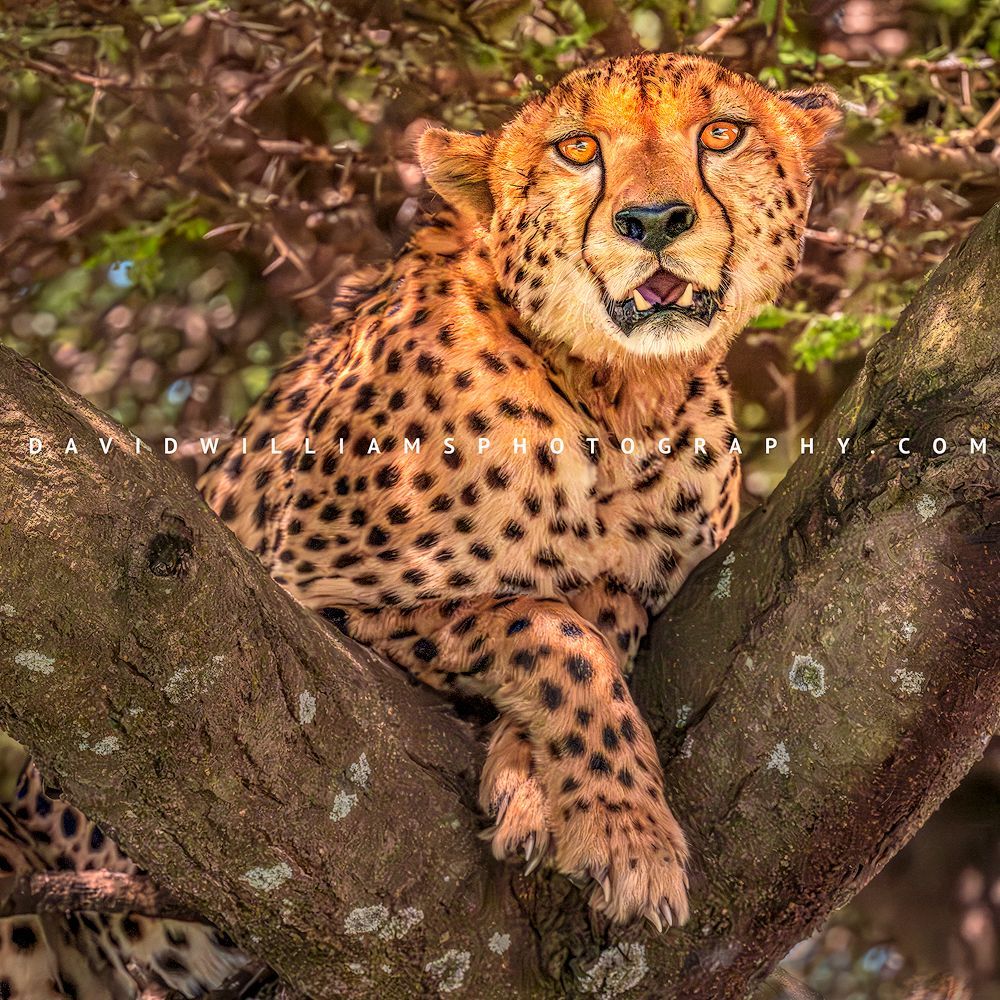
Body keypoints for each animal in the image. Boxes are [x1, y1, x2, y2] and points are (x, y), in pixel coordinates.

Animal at [0, 51, 839, 996]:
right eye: (579, 147)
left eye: (721, 132)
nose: (653, 221)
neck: (620, 397)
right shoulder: (300, 605)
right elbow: (545, 623)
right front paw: (631, 837)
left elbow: (603, 609)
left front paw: (534, 782)